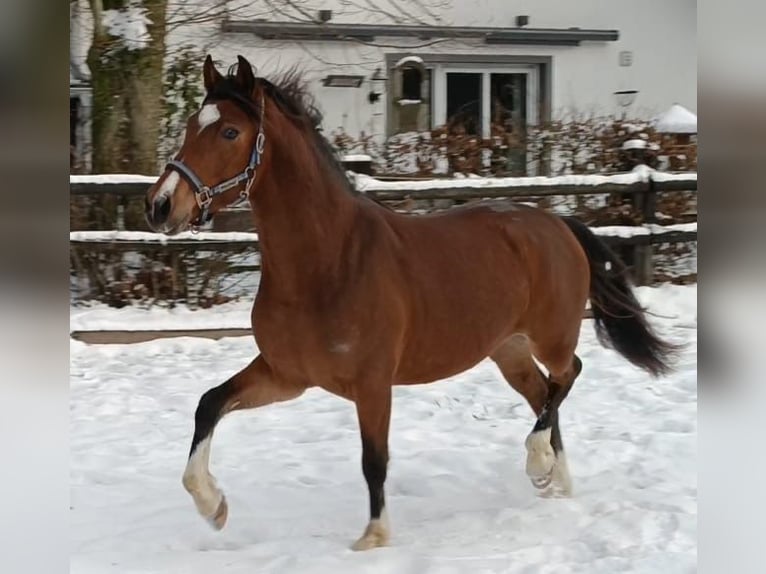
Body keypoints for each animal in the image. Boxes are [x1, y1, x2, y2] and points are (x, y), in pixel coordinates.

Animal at [144, 55, 680, 552]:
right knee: (544, 393)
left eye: (230, 131)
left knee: (568, 376)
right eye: (191, 125)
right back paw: (554, 481)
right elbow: (209, 403)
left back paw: (539, 460)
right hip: (507, 350)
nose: (160, 206)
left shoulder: (372, 383)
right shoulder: (287, 375)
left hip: (552, 335)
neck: (328, 262)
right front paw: (213, 507)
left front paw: (374, 537)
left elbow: (373, 459)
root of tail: (556, 224)